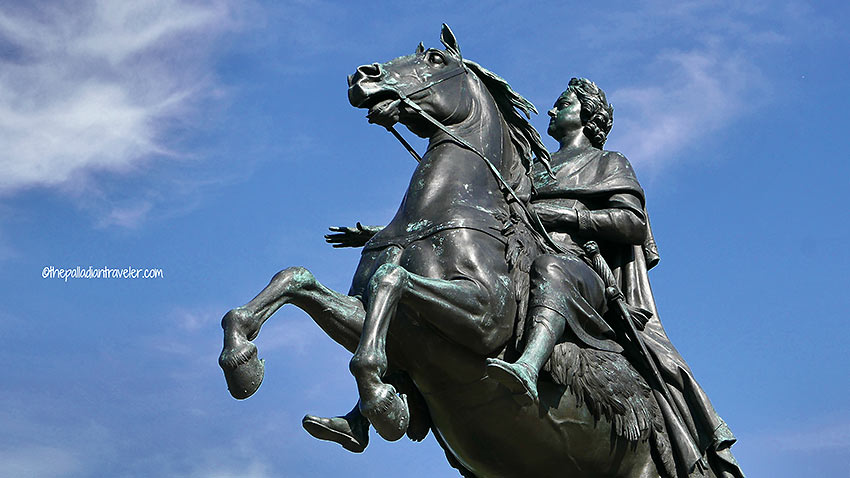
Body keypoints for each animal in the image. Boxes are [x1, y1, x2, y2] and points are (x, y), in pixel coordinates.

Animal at [222, 26, 664, 478]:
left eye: (436, 58)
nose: (361, 75)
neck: (437, 212)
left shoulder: (487, 319)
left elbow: (391, 278)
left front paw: (383, 404)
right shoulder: (385, 322)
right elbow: (297, 278)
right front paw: (242, 361)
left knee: (554, 277)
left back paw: (517, 375)